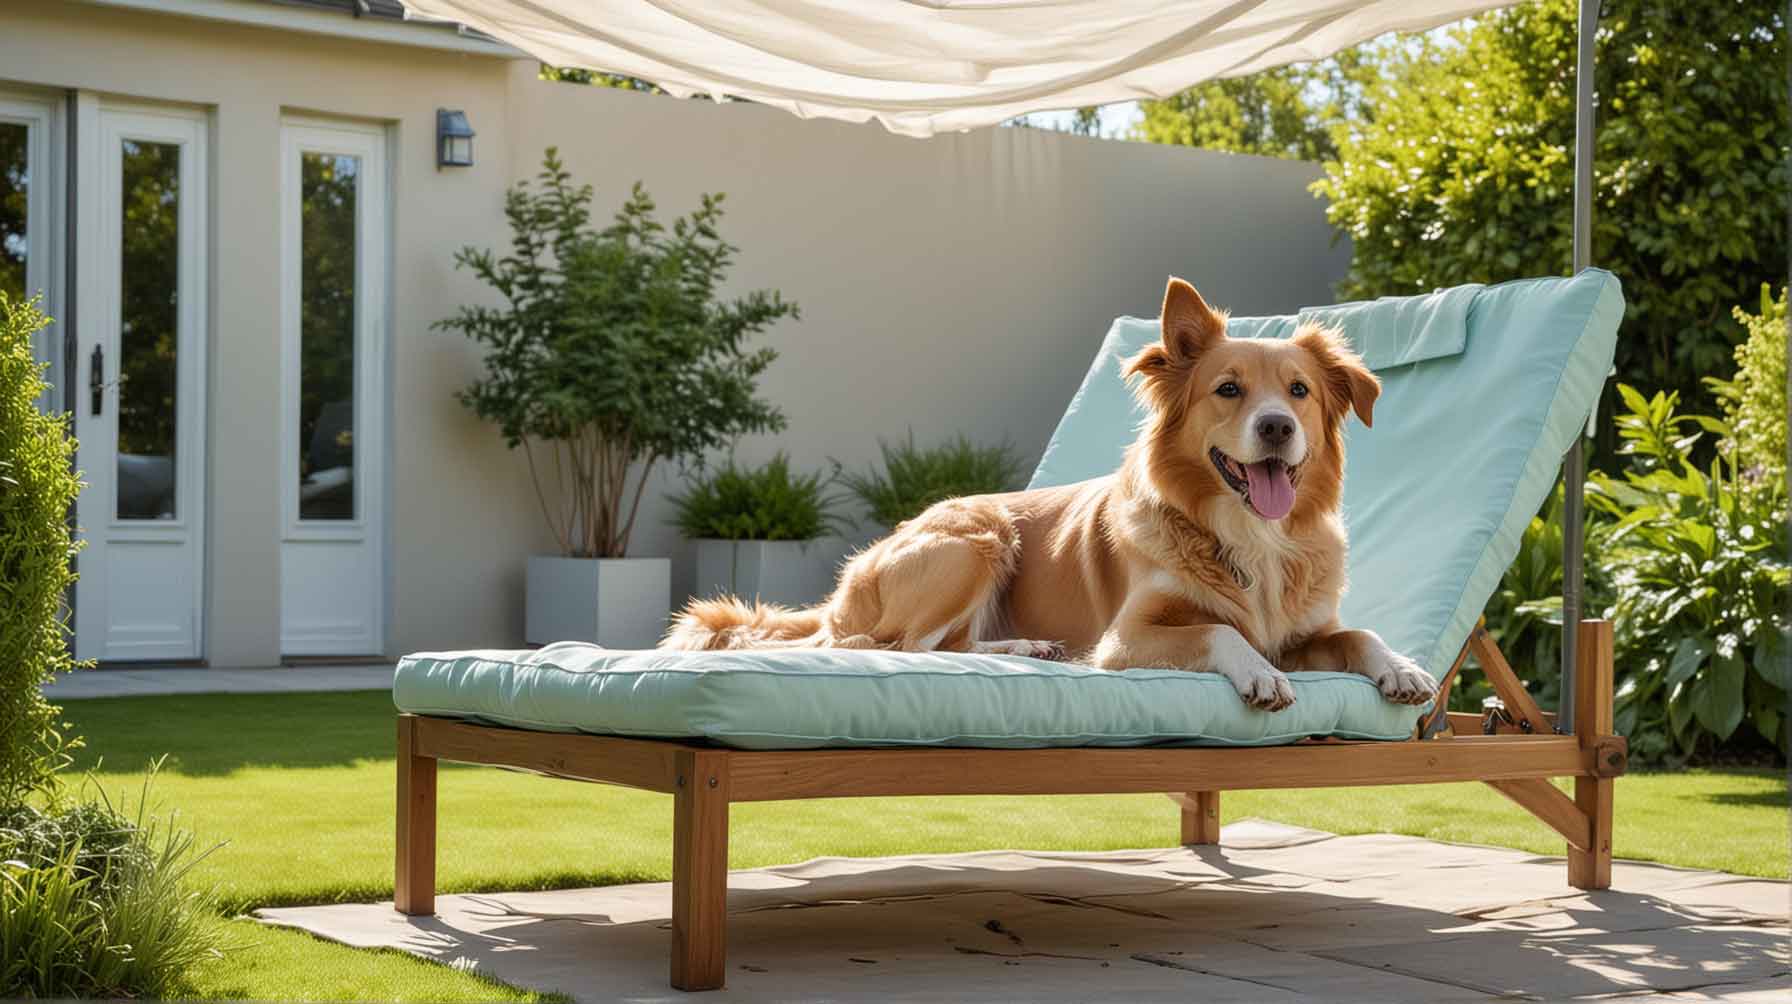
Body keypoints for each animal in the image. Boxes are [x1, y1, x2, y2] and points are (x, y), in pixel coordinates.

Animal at [670, 277, 1440, 709]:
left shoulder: (1304, 633)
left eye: (1300, 391)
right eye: (1229, 390)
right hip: (977, 539)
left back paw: (1029, 647)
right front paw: (1258, 676)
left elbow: (1360, 633)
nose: (1277, 427)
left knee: (943, 644)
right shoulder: (1126, 638)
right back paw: (1022, 648)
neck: (1246, 533)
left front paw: (1401, 667)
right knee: (909, 646)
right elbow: (1221, 629)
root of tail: (843, 586)